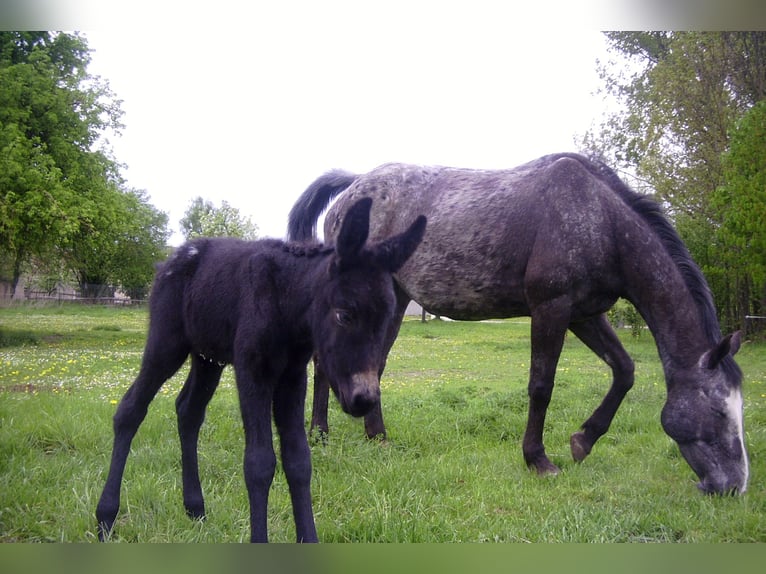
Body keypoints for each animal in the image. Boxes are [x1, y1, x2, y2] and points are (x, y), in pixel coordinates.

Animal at [95, 199, 426, 544]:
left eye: (388, 318)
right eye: (344, 314)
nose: (364, 399)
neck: (287, 307)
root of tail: (175, 257)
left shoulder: (293, 377)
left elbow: (298, 460)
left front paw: (308, 539)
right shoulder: (253, 371)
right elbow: (259, 463)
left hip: (207, 358)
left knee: (188, 411)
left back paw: (195, 507)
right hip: (166, 343)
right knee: (130, 409)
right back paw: (106, 517)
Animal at [288, 153, 752, 496]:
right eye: (718, 411)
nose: (735, 486)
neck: (599, 219)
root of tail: (354, 185)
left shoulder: (583, 314)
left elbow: (625, 371)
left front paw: (583, 441)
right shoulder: (551, 308)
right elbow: (541, 387)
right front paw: (538, 460)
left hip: (395, 299)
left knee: (368, 366)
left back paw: (372, 436)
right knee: (328, 363)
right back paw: (321, 434)